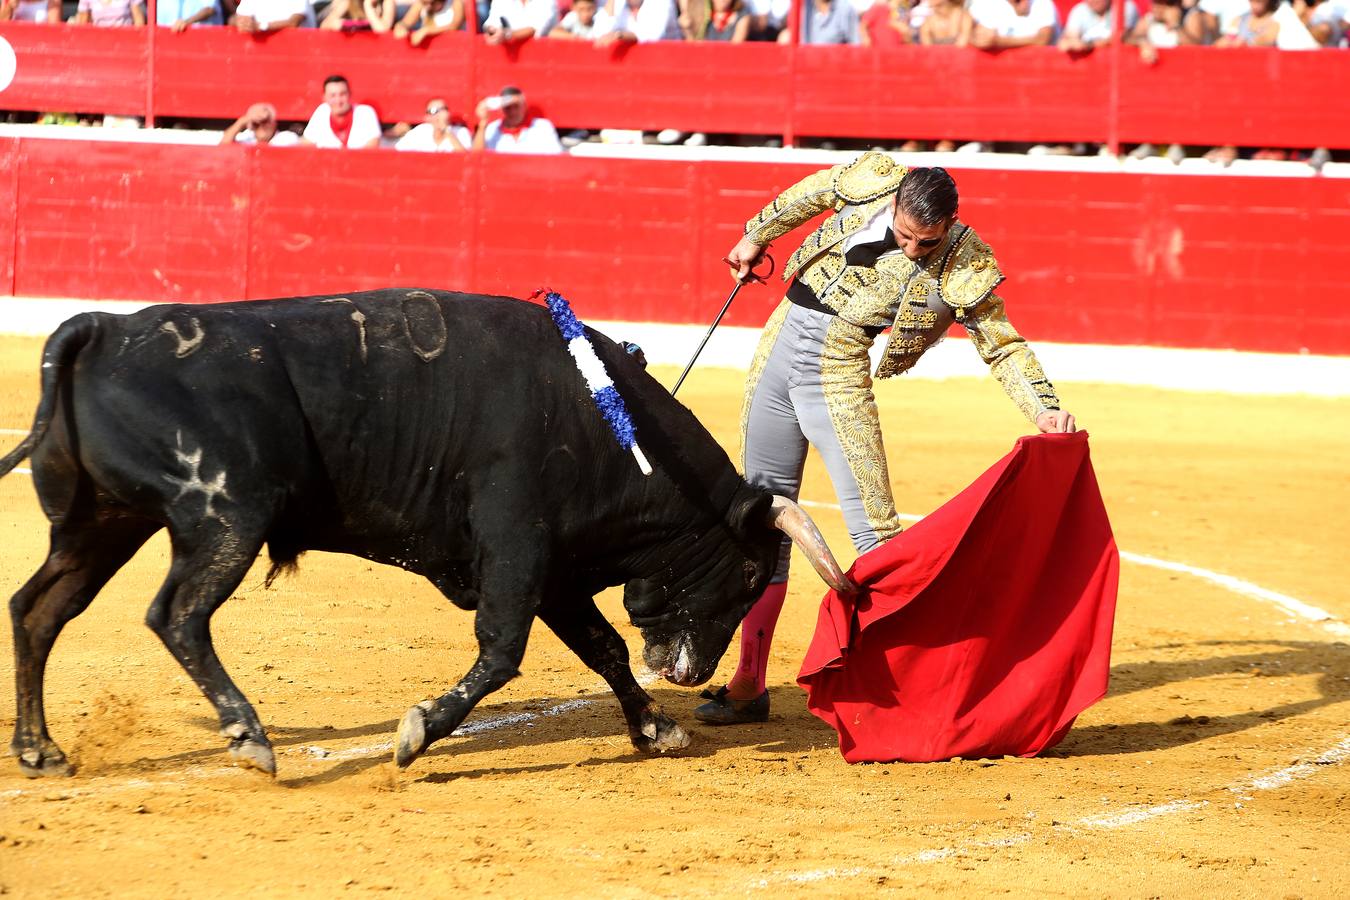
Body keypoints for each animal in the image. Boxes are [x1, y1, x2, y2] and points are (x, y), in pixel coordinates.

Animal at [2, 292, 853, 777]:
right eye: (751, 577)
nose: (691, 673)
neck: (605, 423)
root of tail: (102, 327)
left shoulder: (557, 567)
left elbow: (604, 649)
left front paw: (656, 729)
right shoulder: (518, 544)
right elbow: (503, 652)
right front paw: (415, 736)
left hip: (101, 525)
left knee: (39, 610)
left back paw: (41, 750)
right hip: (224, 517)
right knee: (177, 615)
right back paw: (250, 738)